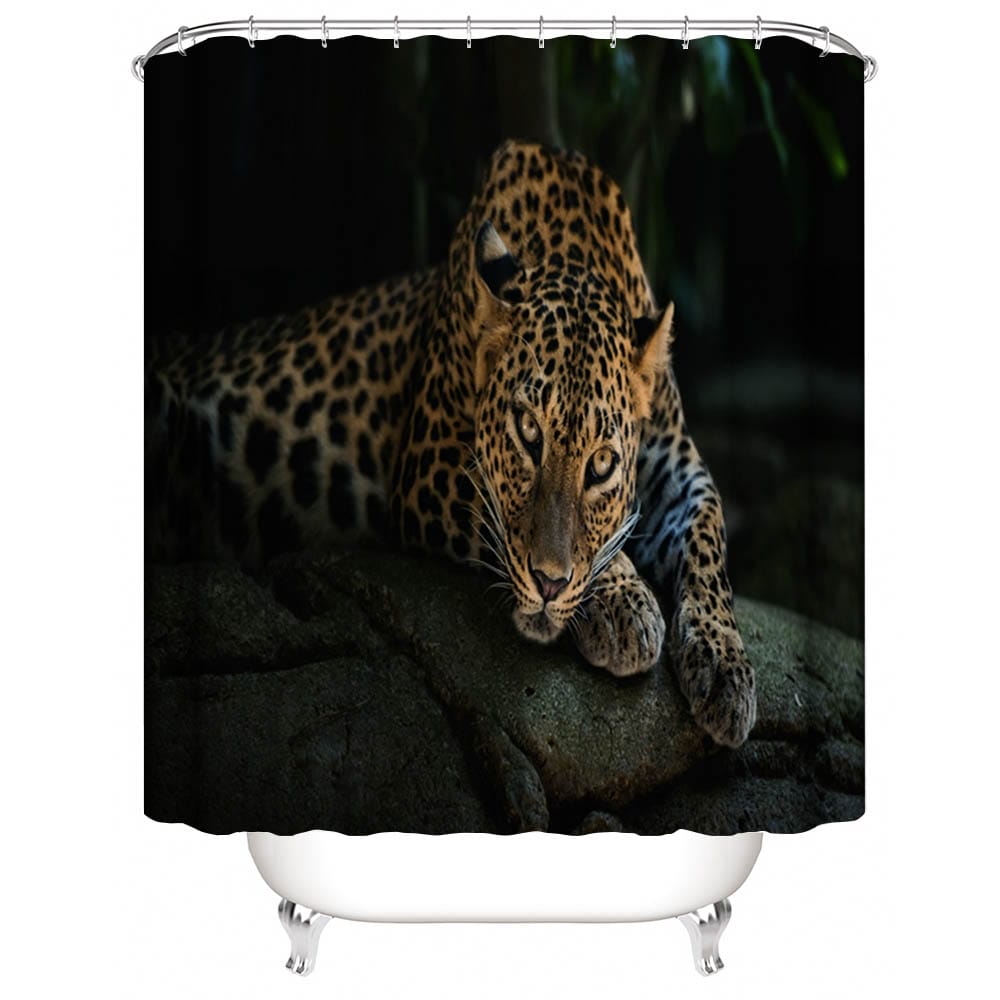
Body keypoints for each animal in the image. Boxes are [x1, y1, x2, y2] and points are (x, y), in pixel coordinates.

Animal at [146, 139, 756, 748]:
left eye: (602, 463)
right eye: (528, 432)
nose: (549, 584)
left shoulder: (678, 464)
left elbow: (709, 536)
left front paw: (726, 666)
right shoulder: (428, 464)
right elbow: (510, 522)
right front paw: (623, 599)